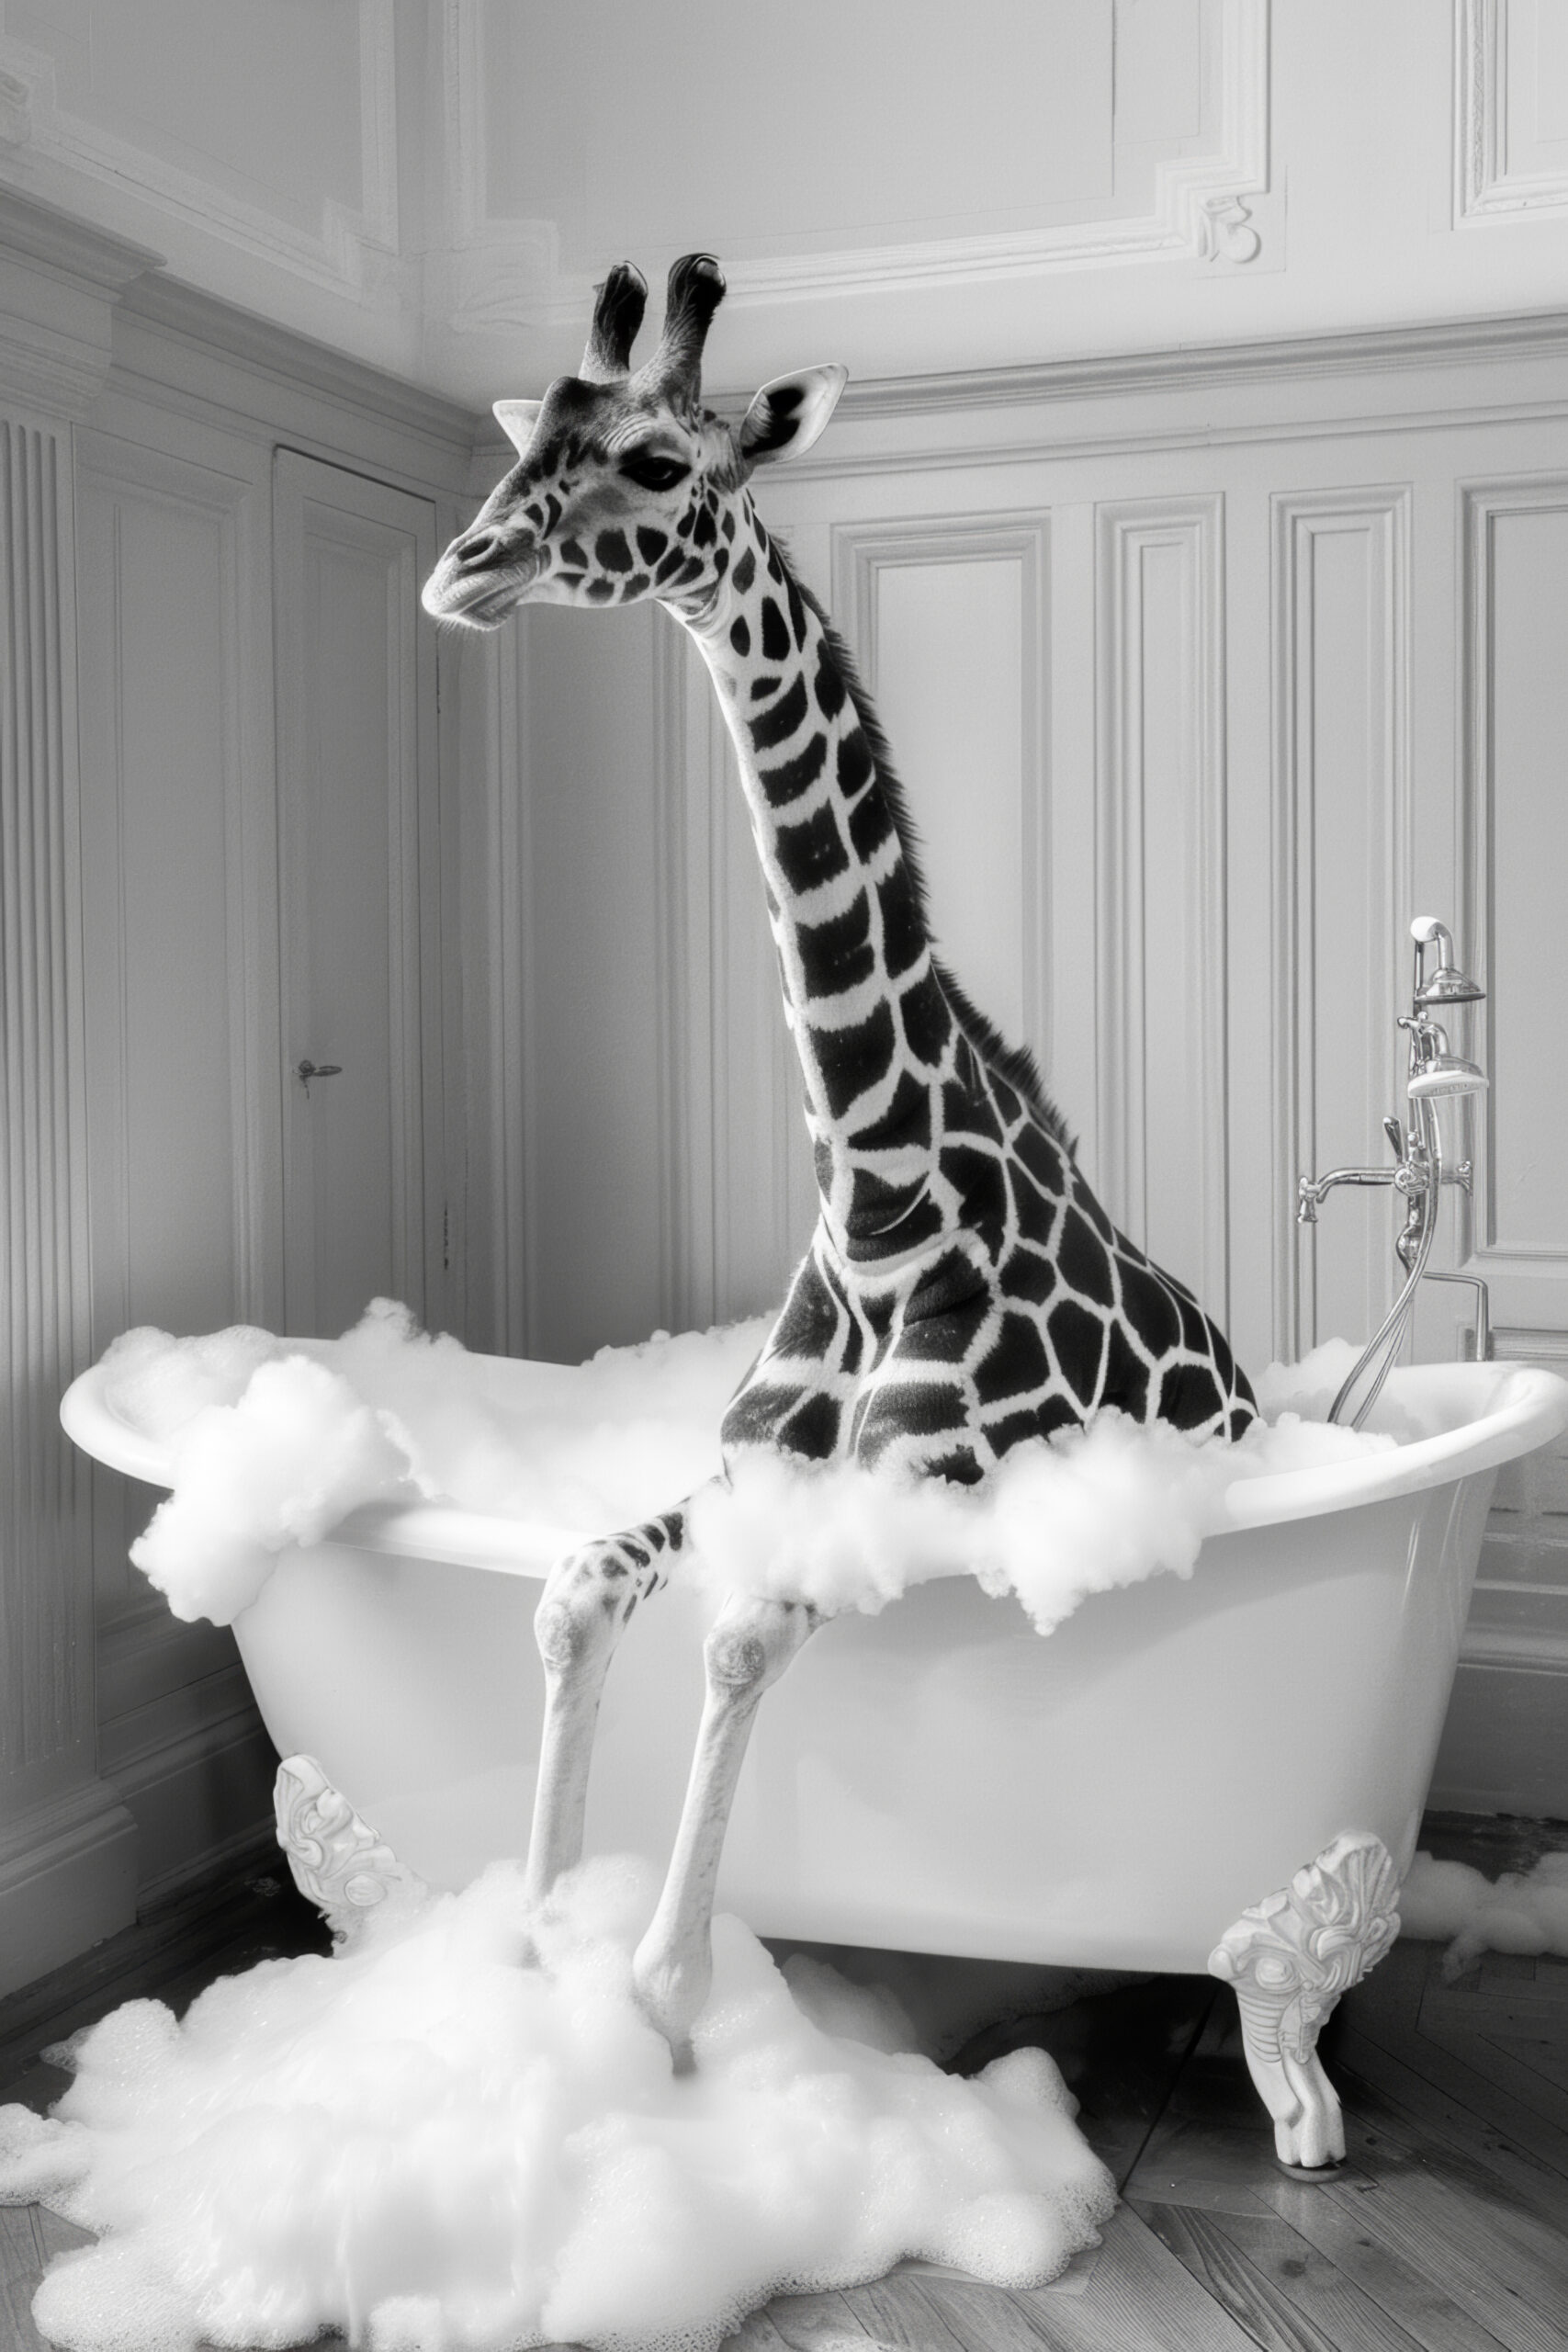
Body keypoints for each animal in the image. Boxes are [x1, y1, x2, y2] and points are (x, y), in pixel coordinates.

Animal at [423, 255, 1258, 2070]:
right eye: (532, 443)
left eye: (660, 462)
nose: (462, 567)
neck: (879, 1191)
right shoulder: (753, 1473)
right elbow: (573, 1589)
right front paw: (525, 1942)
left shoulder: (918, 1488)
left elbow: (739, 1638)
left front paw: (659, 2004)